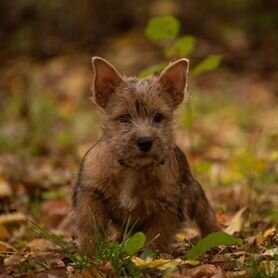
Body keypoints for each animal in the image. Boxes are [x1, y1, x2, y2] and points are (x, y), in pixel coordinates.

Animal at [73, 57, 220, 256]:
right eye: (124, 118)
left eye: (158, 117)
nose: (145, 142)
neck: (132, 170)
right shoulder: (91, 194)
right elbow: (90, 225)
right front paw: (90, 255)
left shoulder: (166, 206)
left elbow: (156, 236)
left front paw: (149, 257)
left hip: (194, 191)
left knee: (206, 216)